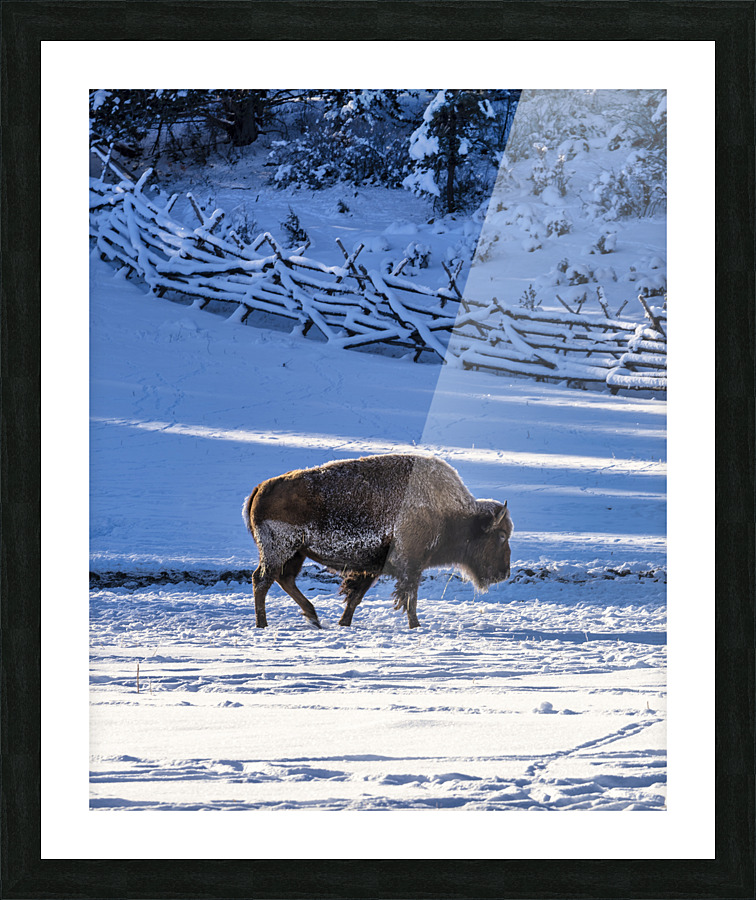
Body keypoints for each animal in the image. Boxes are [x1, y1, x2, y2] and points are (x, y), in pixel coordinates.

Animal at [242, 453, 513, 629]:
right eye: (501, 536)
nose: (505, 572)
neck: (451, 512)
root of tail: (261, 487)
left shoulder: (373, 567)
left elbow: (356, 595)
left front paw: (344, 623)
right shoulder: (411, 566)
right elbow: (410, 598)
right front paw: (416, 626)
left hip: (295, 553)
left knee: (283, 579)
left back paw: (313, 618)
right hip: (280, 550)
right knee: (262, 580)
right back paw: (263, 624)